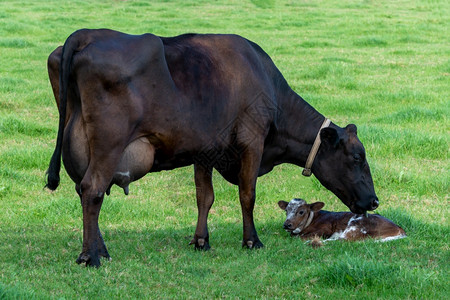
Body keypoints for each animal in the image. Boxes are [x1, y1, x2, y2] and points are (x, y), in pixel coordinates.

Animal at [46, 29, 380, 266]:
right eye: (356, 157)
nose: (375, 201)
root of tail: (88, 33)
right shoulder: (252, 141)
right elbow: (248, 195)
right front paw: (252, 240)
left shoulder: (204, 150)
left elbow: (204, 197)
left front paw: (201, 241)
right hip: (108, 144)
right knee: (92, 190)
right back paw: (91, 256)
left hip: (82, 148)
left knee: (85, 191)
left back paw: (101, 248)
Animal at [276, 199, 406, 241]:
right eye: (286, 210)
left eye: (301, 211)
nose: (286, 224)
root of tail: (399, 228)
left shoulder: (325, 229)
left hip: (356, 224)